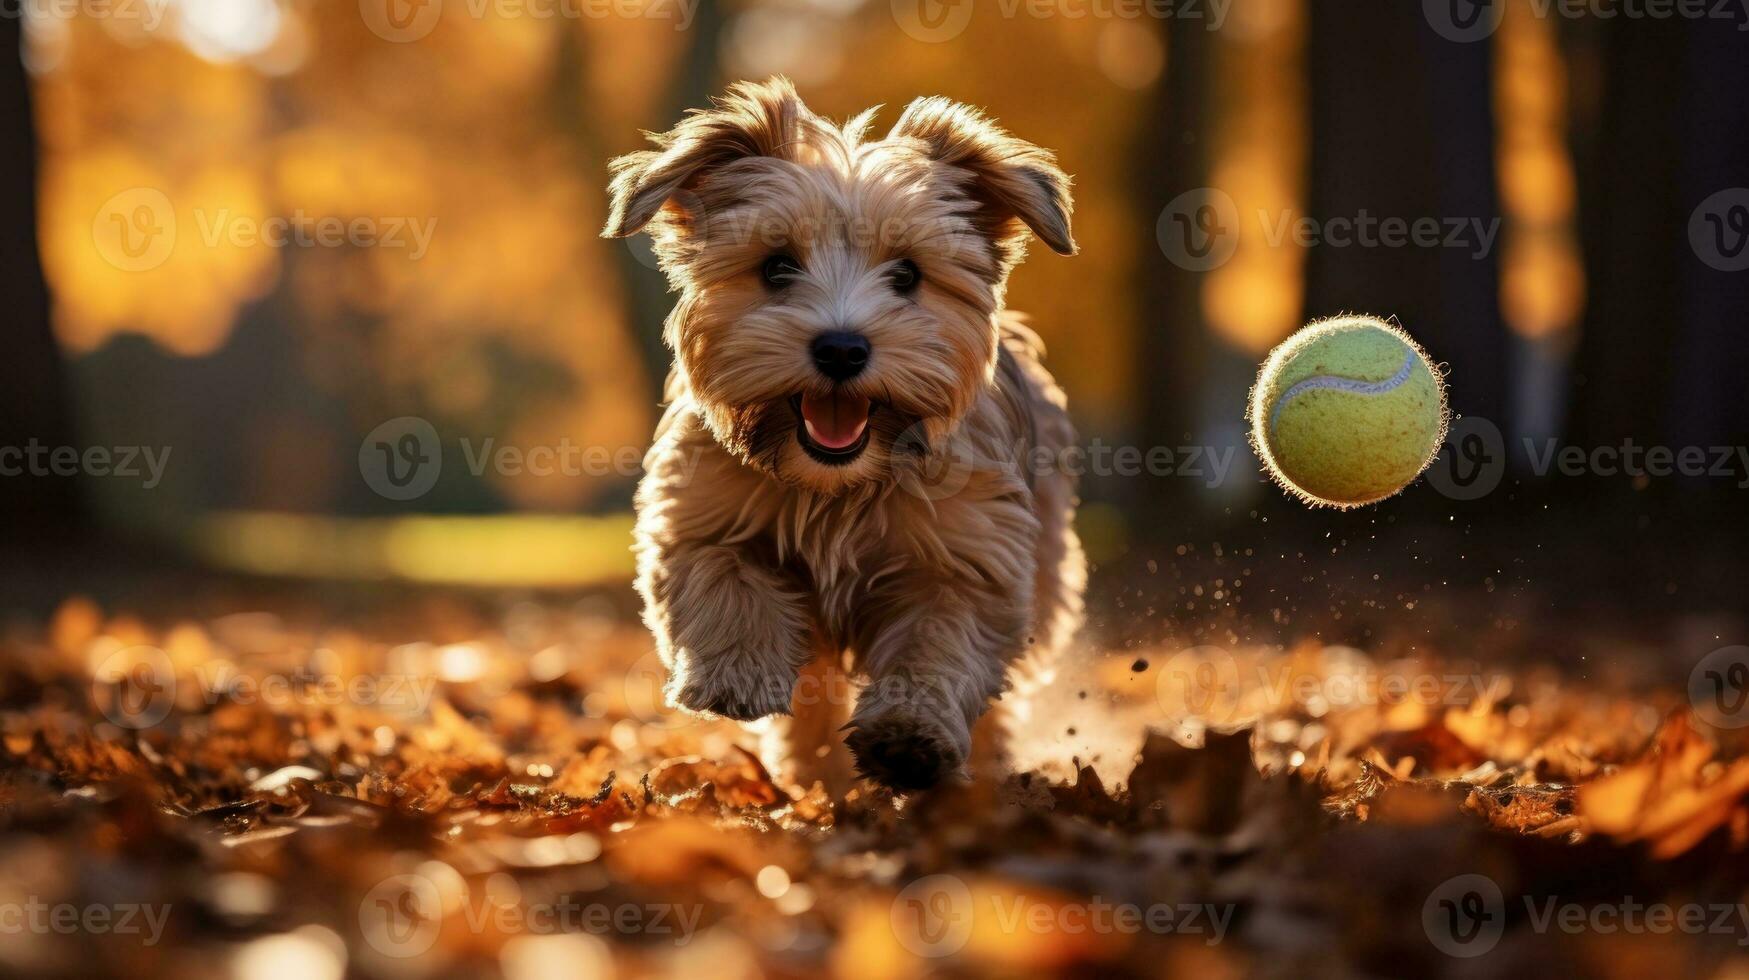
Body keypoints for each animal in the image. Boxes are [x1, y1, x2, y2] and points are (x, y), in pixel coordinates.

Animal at [608, 80, 1084, 791]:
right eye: (777, 267)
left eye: (907, 274)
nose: (840, 347)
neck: (837, 488)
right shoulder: (700, 513)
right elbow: (725, 579)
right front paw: (737, 674)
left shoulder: (971, 557)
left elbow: (939, 643)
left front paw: (909, 735)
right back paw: (816, 774)